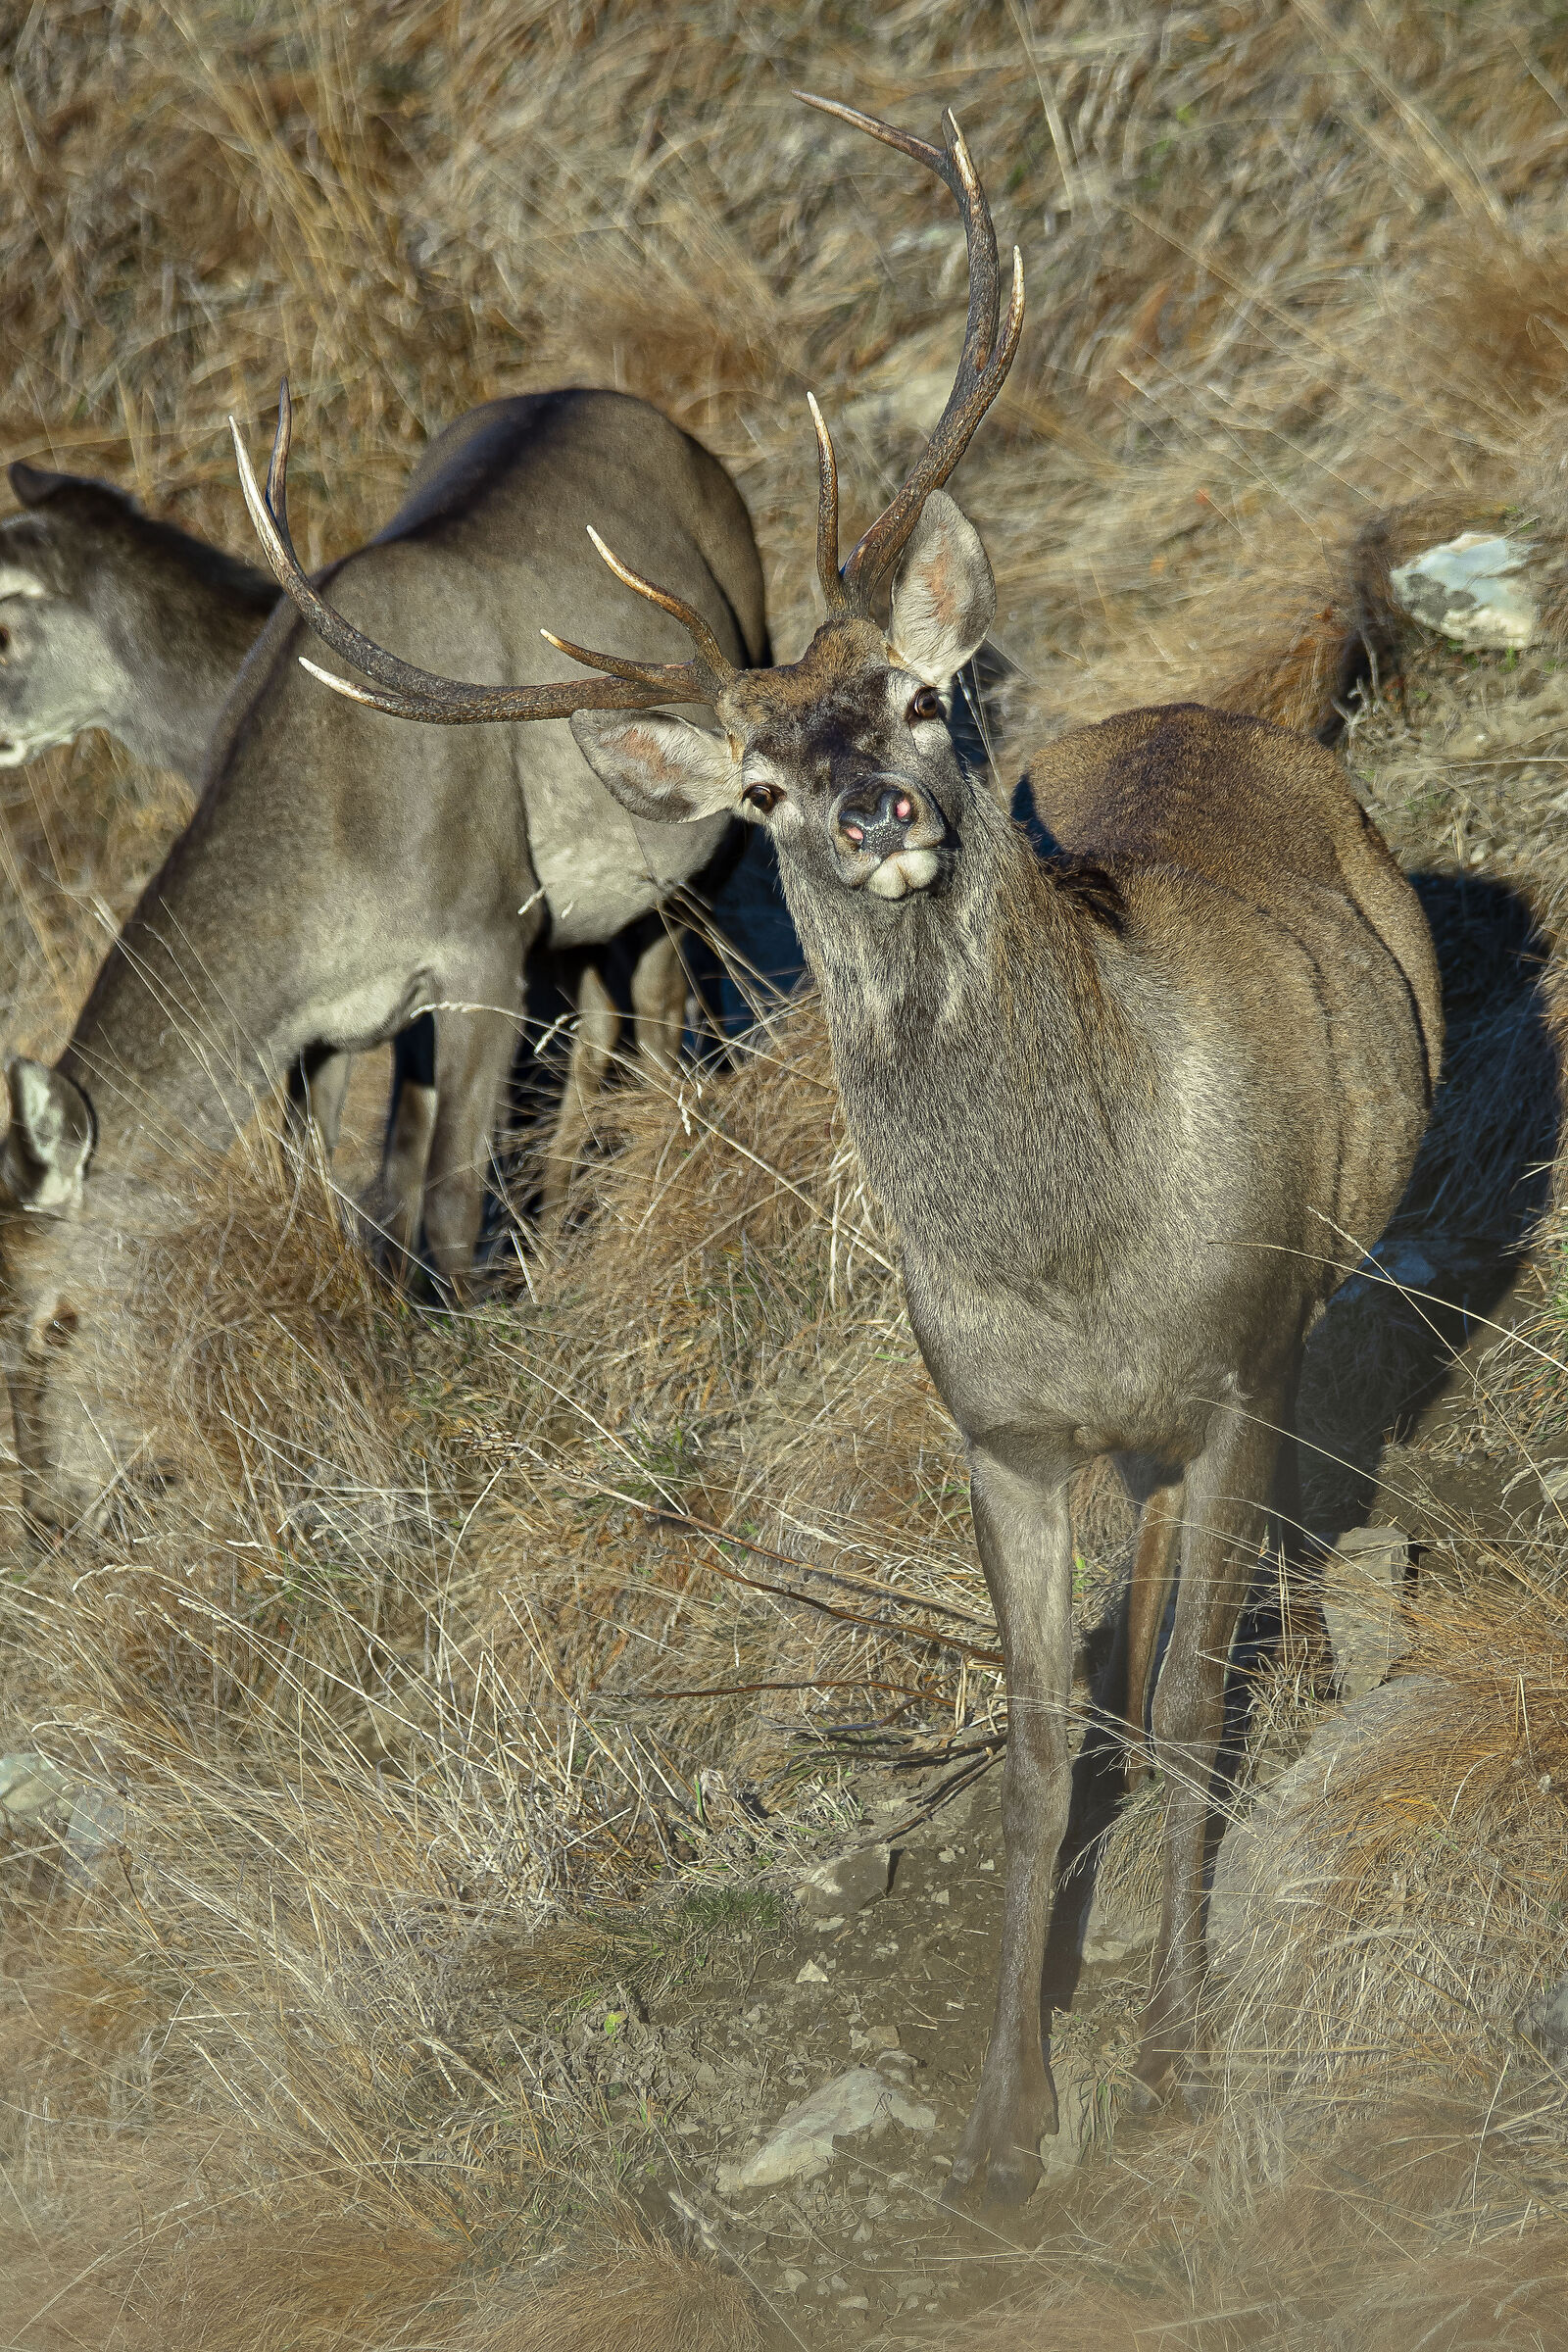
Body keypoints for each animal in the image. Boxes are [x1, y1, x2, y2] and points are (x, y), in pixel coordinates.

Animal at [225, 97, 1442, 2205]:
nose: (880, 807)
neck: (1079, 1255)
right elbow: (1042, 1740)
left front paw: (1179, 2063)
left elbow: (1196, 1698)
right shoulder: (994, 1427)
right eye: (762, 780)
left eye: (910, 694)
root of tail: (1233, 714)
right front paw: (1002, 2122)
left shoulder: (1235, 1361)